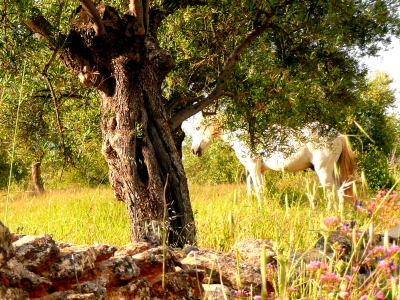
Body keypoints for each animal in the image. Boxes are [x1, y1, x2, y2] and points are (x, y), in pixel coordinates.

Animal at [191, 113, 356, 203]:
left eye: (197, 127)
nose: (194, 150)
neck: (243, 135)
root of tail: (337, 135)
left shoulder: (253, 167)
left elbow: (258, 190)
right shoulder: (260, 171)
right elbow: (259, 188)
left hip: (323, 171)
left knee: (332, 194)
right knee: (341, 193)